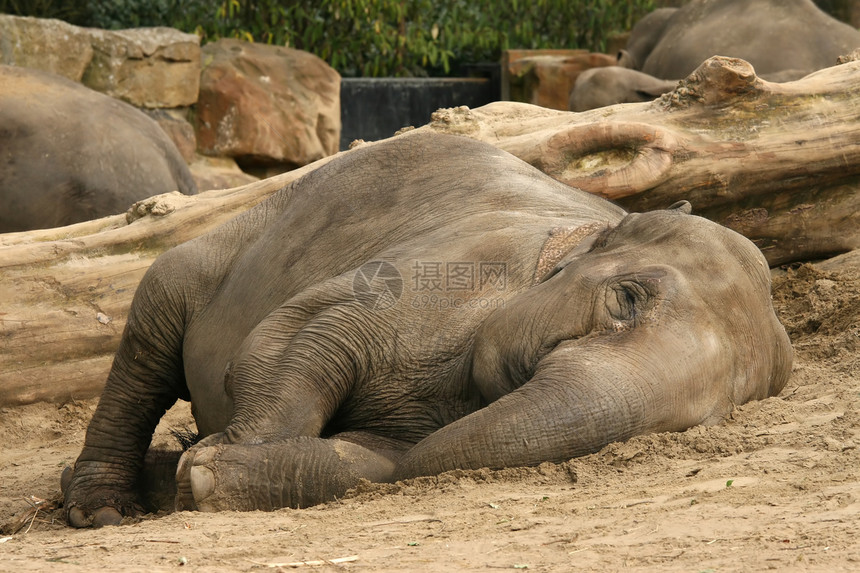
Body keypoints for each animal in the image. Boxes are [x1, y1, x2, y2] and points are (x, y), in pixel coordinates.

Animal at [60, 132, 792, 524]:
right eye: (627, 299)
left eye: (705, 416)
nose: (202, 456)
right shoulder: (454, 269)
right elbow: (294, 338)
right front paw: (208, 459)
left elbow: (370, 461)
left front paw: (206, 470)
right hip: (208, 256)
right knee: (148, 337)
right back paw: (100, 507)